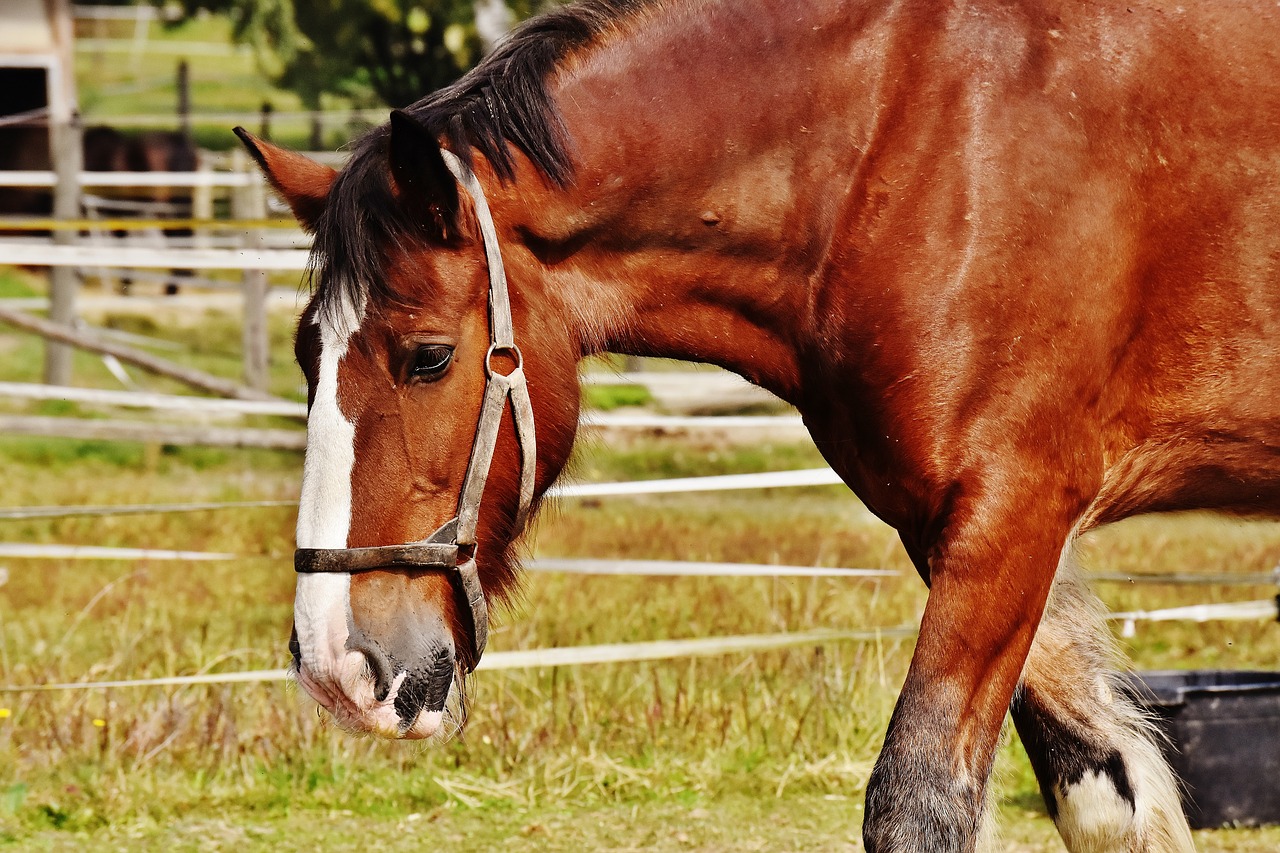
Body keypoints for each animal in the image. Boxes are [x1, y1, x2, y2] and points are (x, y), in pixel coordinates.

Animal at [235, 0, 1274, 845]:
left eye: (427, 356)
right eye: (306, 355)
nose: (335, 662)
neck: (911, 135)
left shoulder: (1010, 516)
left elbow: (917, 801)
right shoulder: (973, 531)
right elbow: (1110, 797)